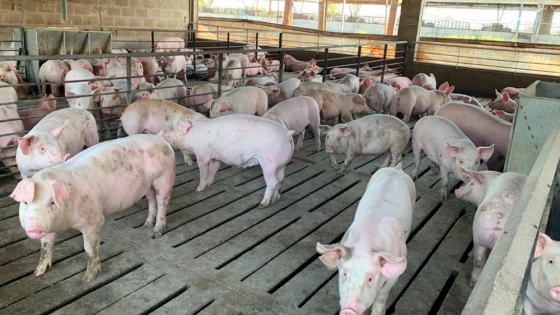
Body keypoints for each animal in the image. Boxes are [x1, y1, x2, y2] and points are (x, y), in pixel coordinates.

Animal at [11, 135, 177, 282]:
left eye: (52, 202)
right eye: (25, 203)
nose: (35, 227)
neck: (66, 223)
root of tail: (160, 138)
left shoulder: (94, 221)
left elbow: (89, 249)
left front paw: (88, 278)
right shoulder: (50, 228)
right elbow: (45, 246)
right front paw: (38, 273)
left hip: (165, 177)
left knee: (162, 202)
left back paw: (156, 232)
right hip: (147, 185)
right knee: (151, 200)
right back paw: (146, 224)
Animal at [161, 115, 294, 209]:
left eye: (177, 130)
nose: (165, 133)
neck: (193, 135)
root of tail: (287, 133)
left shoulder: (202, 155)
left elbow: (203, 172)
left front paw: (198, 189)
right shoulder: (216, 157)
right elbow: (213, 171)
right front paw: (209, 183)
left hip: (269, 164)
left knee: (273, 181)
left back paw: (262, 204)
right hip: (281, 165)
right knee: (281, 179)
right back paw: (275, 199)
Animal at [318, 164, 414, 315]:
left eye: (370, 278)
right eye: (344, 274)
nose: (348, 311)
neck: (364, 245)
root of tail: (396, 169)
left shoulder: (394, 276)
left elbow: (382, 294)